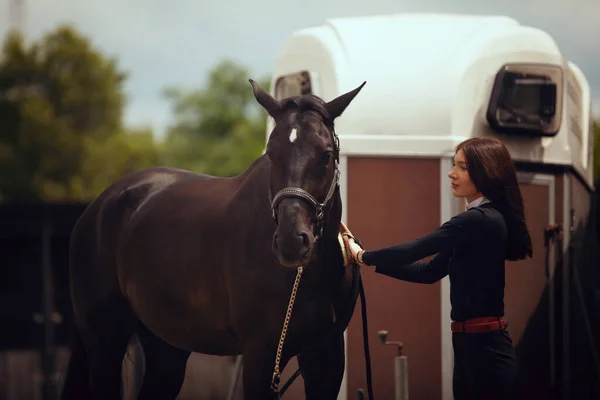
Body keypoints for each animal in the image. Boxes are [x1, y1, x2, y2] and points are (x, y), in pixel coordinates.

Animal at [61, 79, 370, 400]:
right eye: (271, 153)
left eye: (326, 154)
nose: (291, 241)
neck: (305, 278)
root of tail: (98, 206)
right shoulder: (261, 357)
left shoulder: (325, 356)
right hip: (104, 342)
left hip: (166, 347)